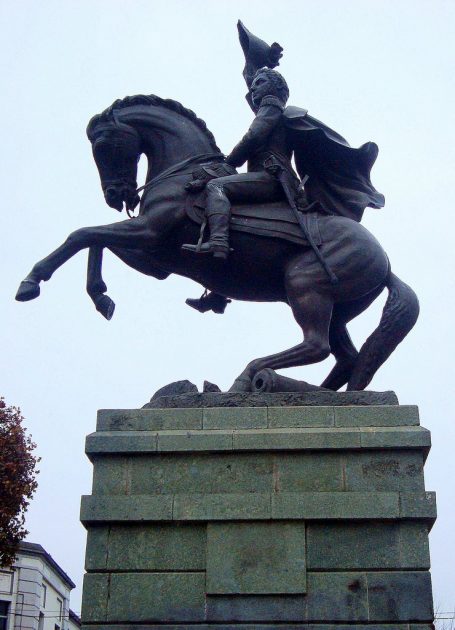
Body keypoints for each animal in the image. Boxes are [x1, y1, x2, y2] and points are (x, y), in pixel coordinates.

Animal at [15, 95, 420, 392]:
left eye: (104, 146)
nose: (116, 195)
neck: (180, 173)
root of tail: (385, 262)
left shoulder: (148, 234)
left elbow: (82, 234)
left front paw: (31, 282)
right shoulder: (153, 258)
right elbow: (95, 241)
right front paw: (101, 296)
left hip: (305, 285)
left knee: (316, 345)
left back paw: (252, 377)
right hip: (338, 307)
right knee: (346, 358)